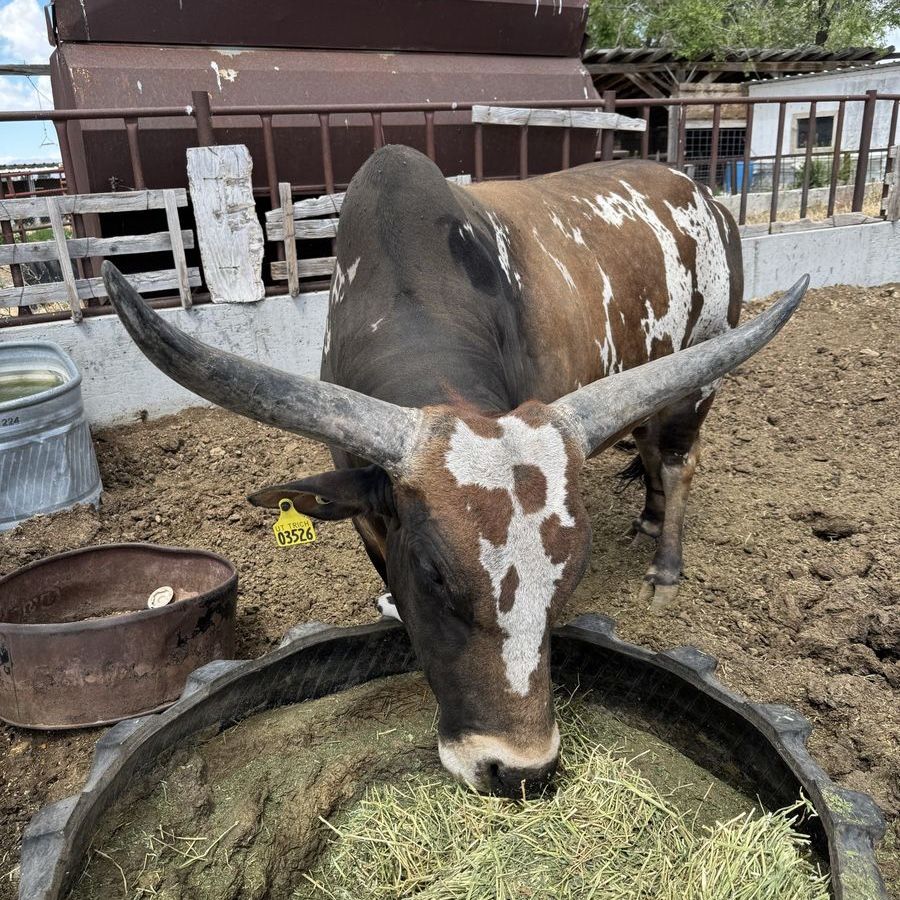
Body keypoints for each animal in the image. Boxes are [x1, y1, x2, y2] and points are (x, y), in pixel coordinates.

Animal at [102, 144, 807, 799]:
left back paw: (665, 567)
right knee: (653, 450)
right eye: (434, 575)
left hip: (701, 371)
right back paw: (649, 519)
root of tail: (704, 192)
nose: (520, 771)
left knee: (679, 458)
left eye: (572, 574)